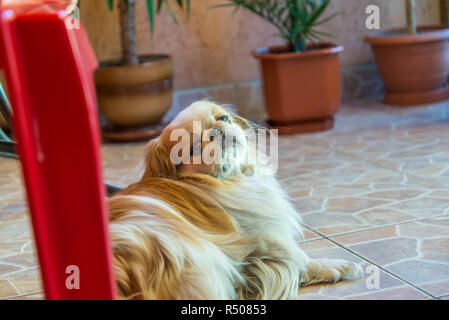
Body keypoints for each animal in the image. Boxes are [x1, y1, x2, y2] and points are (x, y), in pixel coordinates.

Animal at [108, 100, 364, 300]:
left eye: (223, 118)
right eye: (193, 148)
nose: (216, 130)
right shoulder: (265, 235)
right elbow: (303, 259)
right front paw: (343, 266)